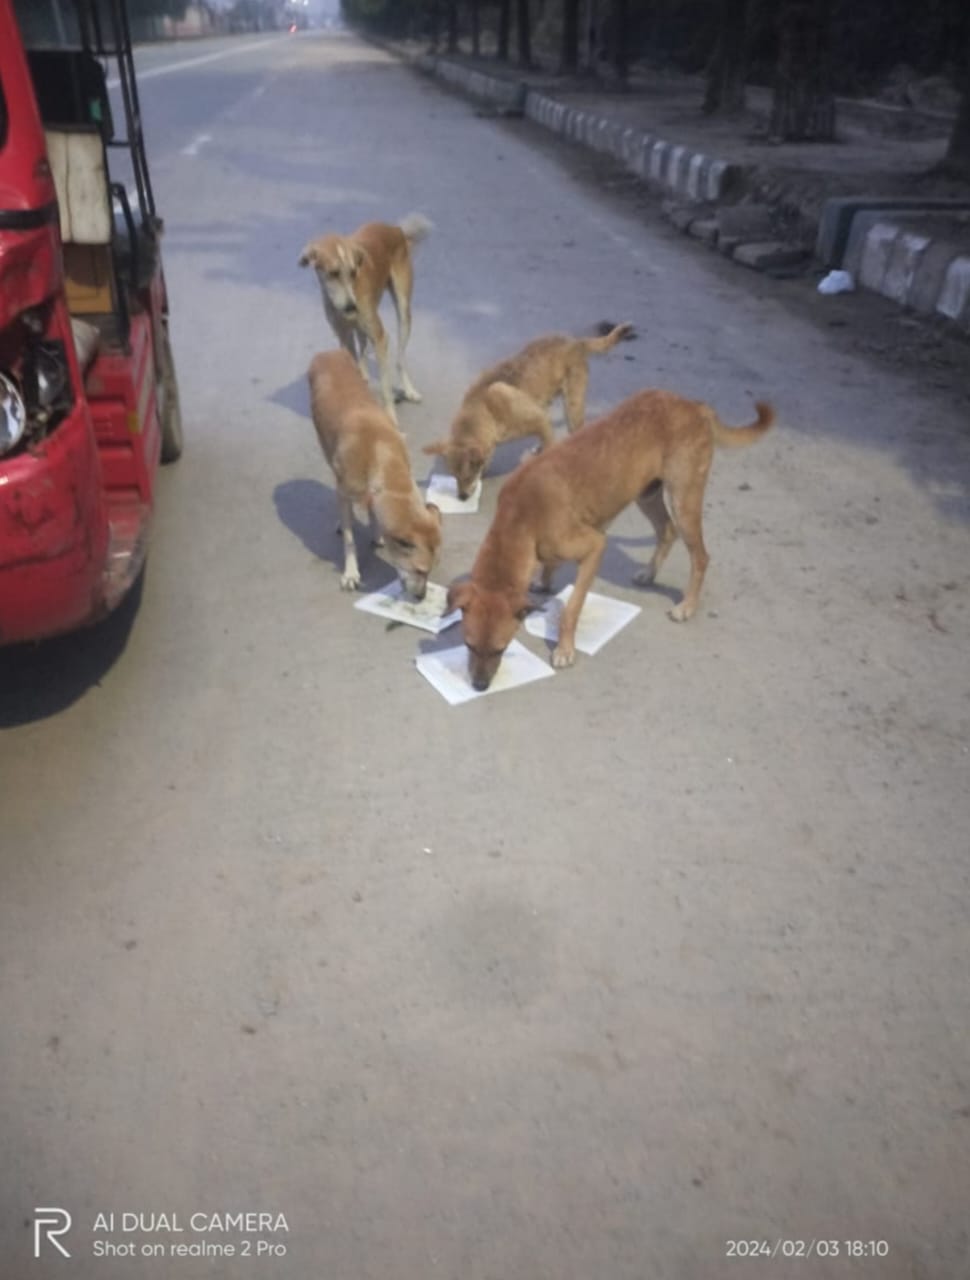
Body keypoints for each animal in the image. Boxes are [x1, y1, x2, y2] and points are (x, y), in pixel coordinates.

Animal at [299, 214, 432, 426]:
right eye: (333, 273)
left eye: (353, 272)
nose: (351, 307)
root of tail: (394, 229)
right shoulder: (343, 337)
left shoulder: (379, 337)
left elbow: (385, 387)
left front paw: (390, 418)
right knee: (362, 346)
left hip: (403, 311)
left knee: (400, 359)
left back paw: (409, 390)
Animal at [308, 349, 442, 599]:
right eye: (420, 570)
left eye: (431, 571)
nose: (421, 597)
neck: (380, 452)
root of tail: (328, 353)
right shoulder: (345, 489)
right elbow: (349, 539)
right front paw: (351, 572)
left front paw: (377, 531)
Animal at [423, 323, 633, 500]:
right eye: (454, 477)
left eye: (467, 476)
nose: (461, 497)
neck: (486, 411)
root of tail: (574, 342)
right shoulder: (537, 420)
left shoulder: (539, 419)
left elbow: (549, 445)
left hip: (573, 406)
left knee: (574, 431)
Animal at [447, 391, 774, 689]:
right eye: (468, 644)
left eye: (500, 648)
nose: (479, 686)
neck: (521, 519)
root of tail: (695, 406)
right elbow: (549, 567)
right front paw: (544, 580)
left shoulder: (595, 546)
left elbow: (571, 609)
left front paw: (565, 650)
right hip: (647, 493)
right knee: (666, 530)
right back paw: (650, 573)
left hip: (684, 500)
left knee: (701, 556)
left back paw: (687, 606)